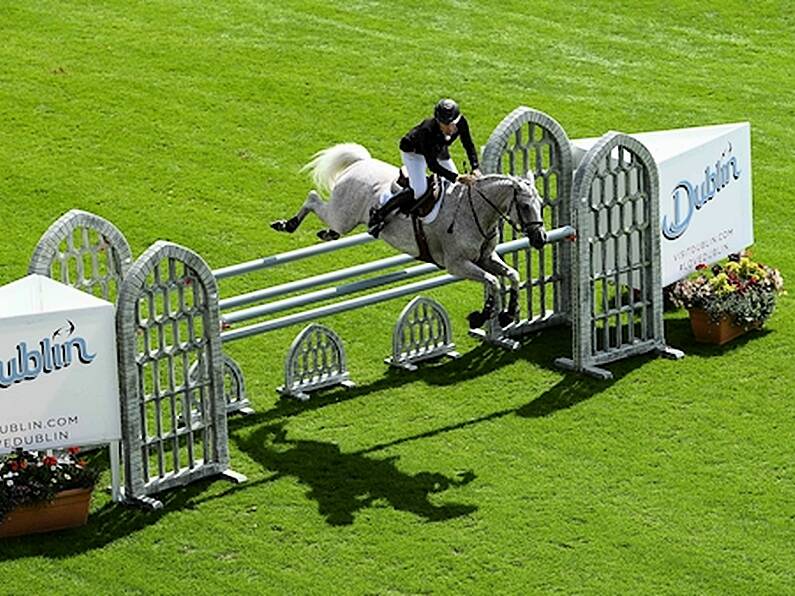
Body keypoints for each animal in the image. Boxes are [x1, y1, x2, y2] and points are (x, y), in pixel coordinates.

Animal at [272, 144, 548, 328]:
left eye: (542, 204)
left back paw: (323, 232)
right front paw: (481, 316)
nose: (540, 239)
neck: (474, 211)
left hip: (343, 219)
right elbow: (492, 281)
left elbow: (512, 275)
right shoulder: (457, 265)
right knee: (313, 198)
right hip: (343, 217)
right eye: (525, 206)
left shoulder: (485, 258)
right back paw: (287, 225)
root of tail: (359, 163)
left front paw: (508, 314)